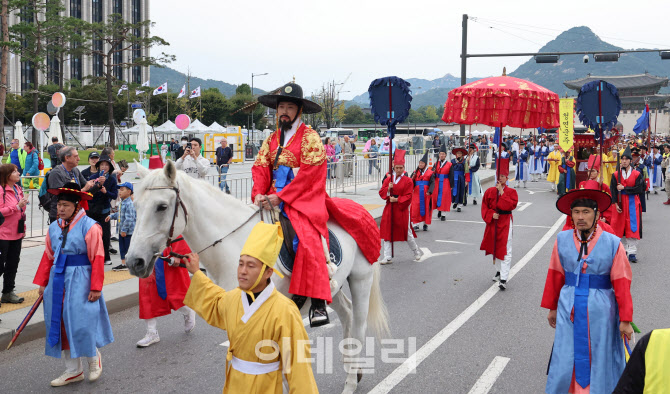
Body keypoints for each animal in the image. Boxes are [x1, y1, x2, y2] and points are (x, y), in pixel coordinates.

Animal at [126, 162, 392, 392]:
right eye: (135, 206)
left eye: (161, 206)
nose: (133, 262)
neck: (236, 244)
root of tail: (357, 209)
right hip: (328, 287)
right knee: (346, 313)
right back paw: (352, 367)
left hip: (361, 278)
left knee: (358, 325)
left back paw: (351, 381)